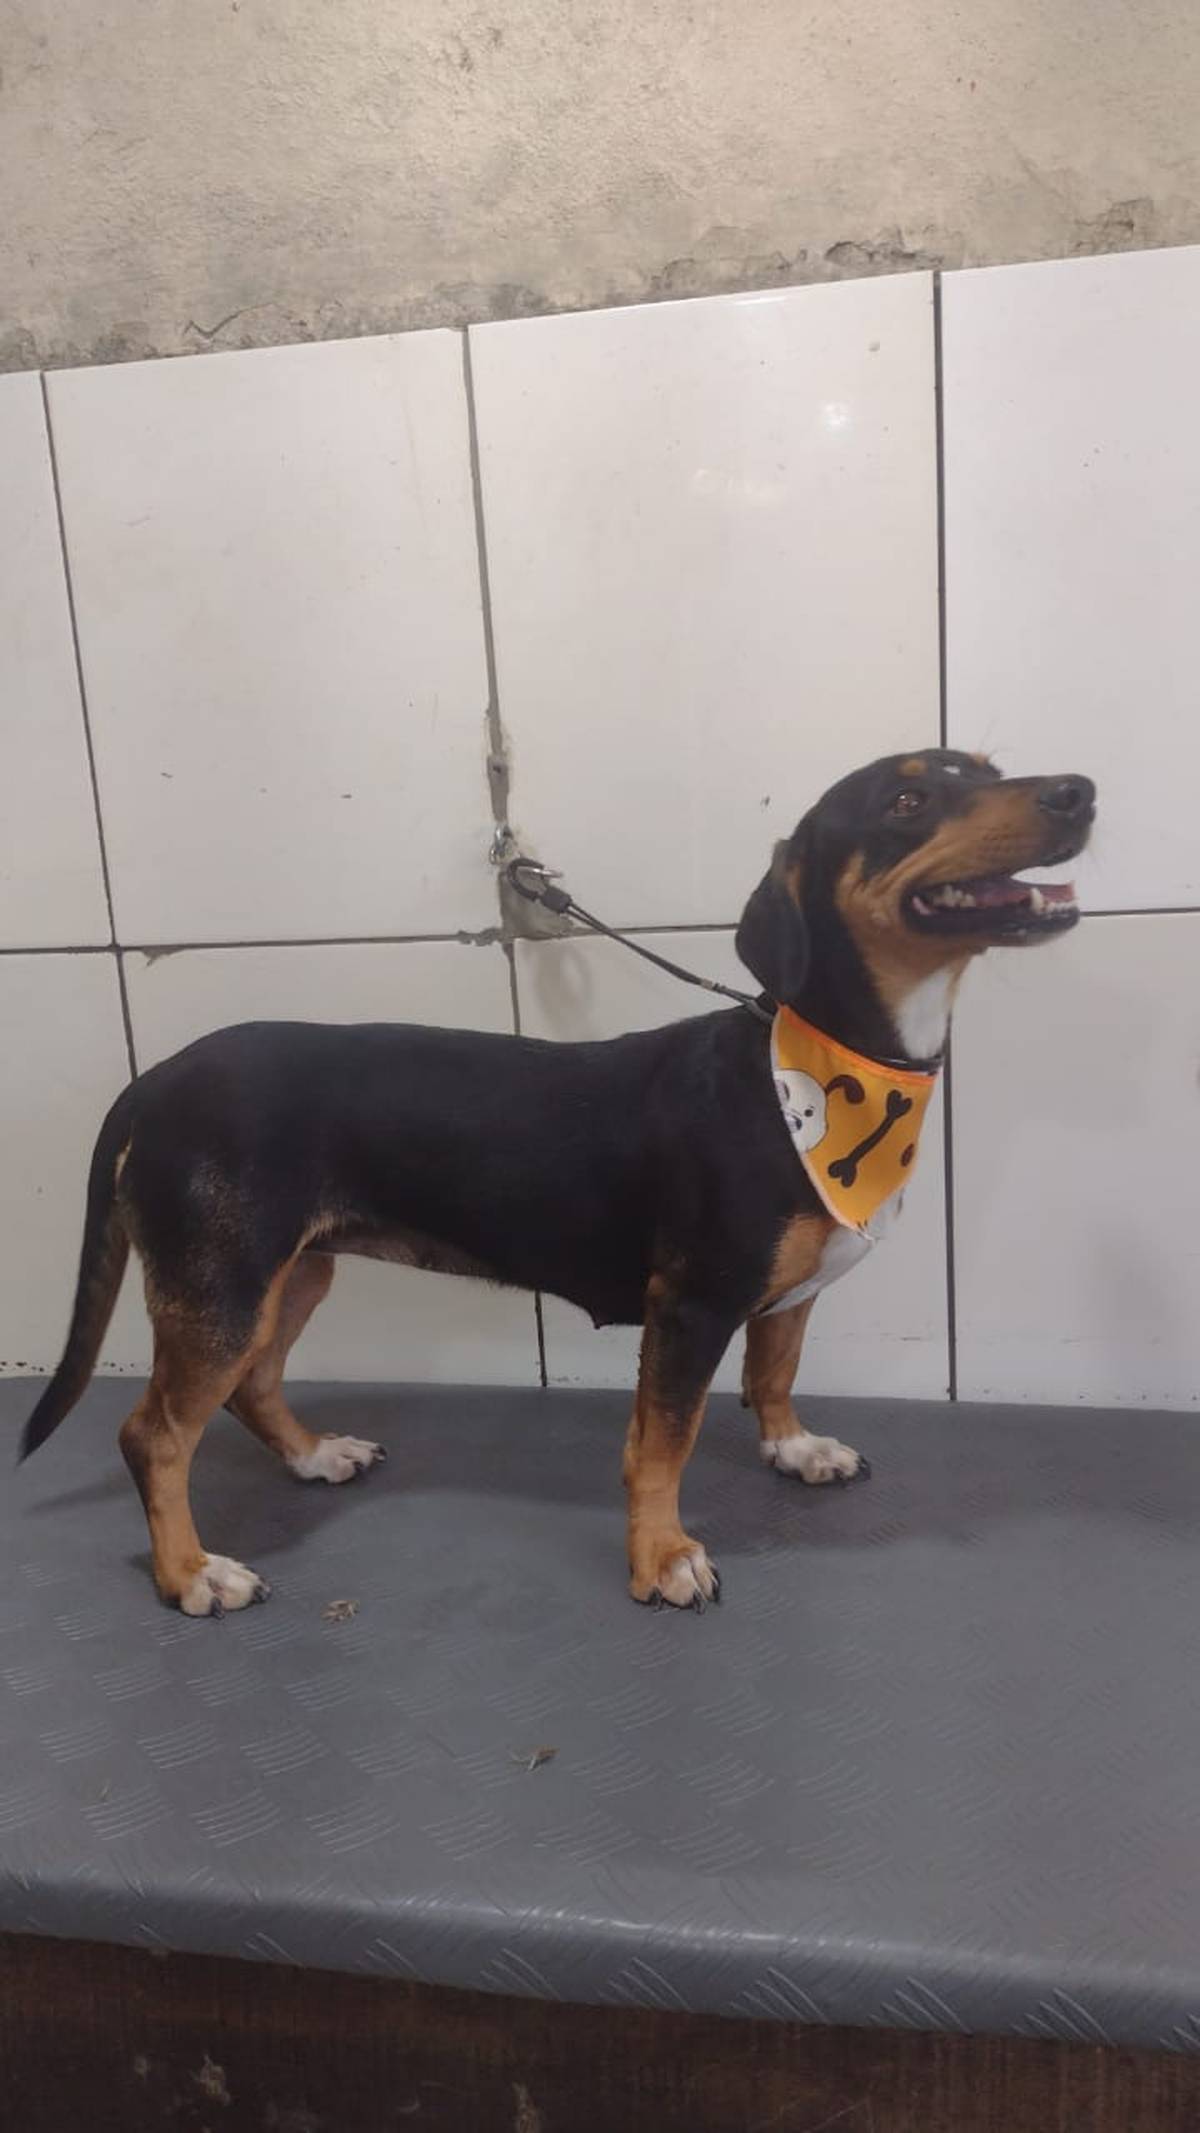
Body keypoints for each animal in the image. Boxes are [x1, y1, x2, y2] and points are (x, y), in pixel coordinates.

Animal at [21, 750, 1094, 1617]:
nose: (1077, 792)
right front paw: (662, 1558)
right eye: (909, 798)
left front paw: (793, 1450)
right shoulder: (692, 1303)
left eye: (987, 766)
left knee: (253, 1383)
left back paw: (313, 1455)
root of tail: (154, 1081)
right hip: (222, 1283)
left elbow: (772, 1375)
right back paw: (190, 1573)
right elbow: (663, 1444)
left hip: (287, 1271)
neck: (822, 1062)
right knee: (153, 1435)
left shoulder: (782, 1294)